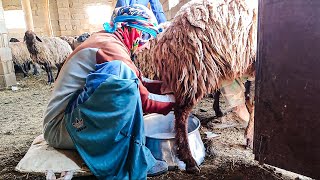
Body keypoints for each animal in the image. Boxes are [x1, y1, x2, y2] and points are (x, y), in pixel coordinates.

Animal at [152, 0, 258, 173]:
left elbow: (249, 99)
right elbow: (253, 102)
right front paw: (250, 136)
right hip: (197, 71)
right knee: (181, 113)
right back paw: (189, 160)